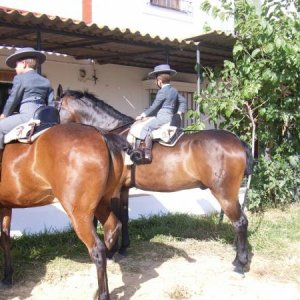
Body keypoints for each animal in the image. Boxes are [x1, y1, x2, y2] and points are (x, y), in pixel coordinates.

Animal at [0, 122, 127, 300]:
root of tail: (101, 135)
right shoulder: (5, 206)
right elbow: (5, 239)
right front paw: (7, 276)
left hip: (79, 214)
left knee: (97, 250)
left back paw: (102, 294)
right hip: (101, 203)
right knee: (112, 229)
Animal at [56, 89, 253, 274]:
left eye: (56, 106)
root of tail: (237, 141)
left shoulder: (114, 190)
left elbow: (115, 220)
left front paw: (112, 252)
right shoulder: (124, 189)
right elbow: (124, 217)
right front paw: (124, 248)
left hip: (225, 194)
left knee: (240, 222)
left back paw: (240, 263)